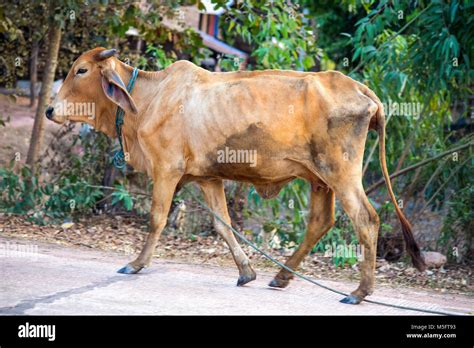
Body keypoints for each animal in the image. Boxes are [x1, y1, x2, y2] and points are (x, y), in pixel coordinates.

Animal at [47, 47, 426, 304]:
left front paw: (136, 264)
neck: (149, 99)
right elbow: (223, 224)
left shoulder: (167, 170)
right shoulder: (208, 179)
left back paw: (359, 291)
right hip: (320, 179)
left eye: (81, 70)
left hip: (342, 173)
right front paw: (247, 271)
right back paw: (281, 277)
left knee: (366, 219)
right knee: (321, 222)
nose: (50, 110)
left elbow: (156, 219)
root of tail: (362, 90)